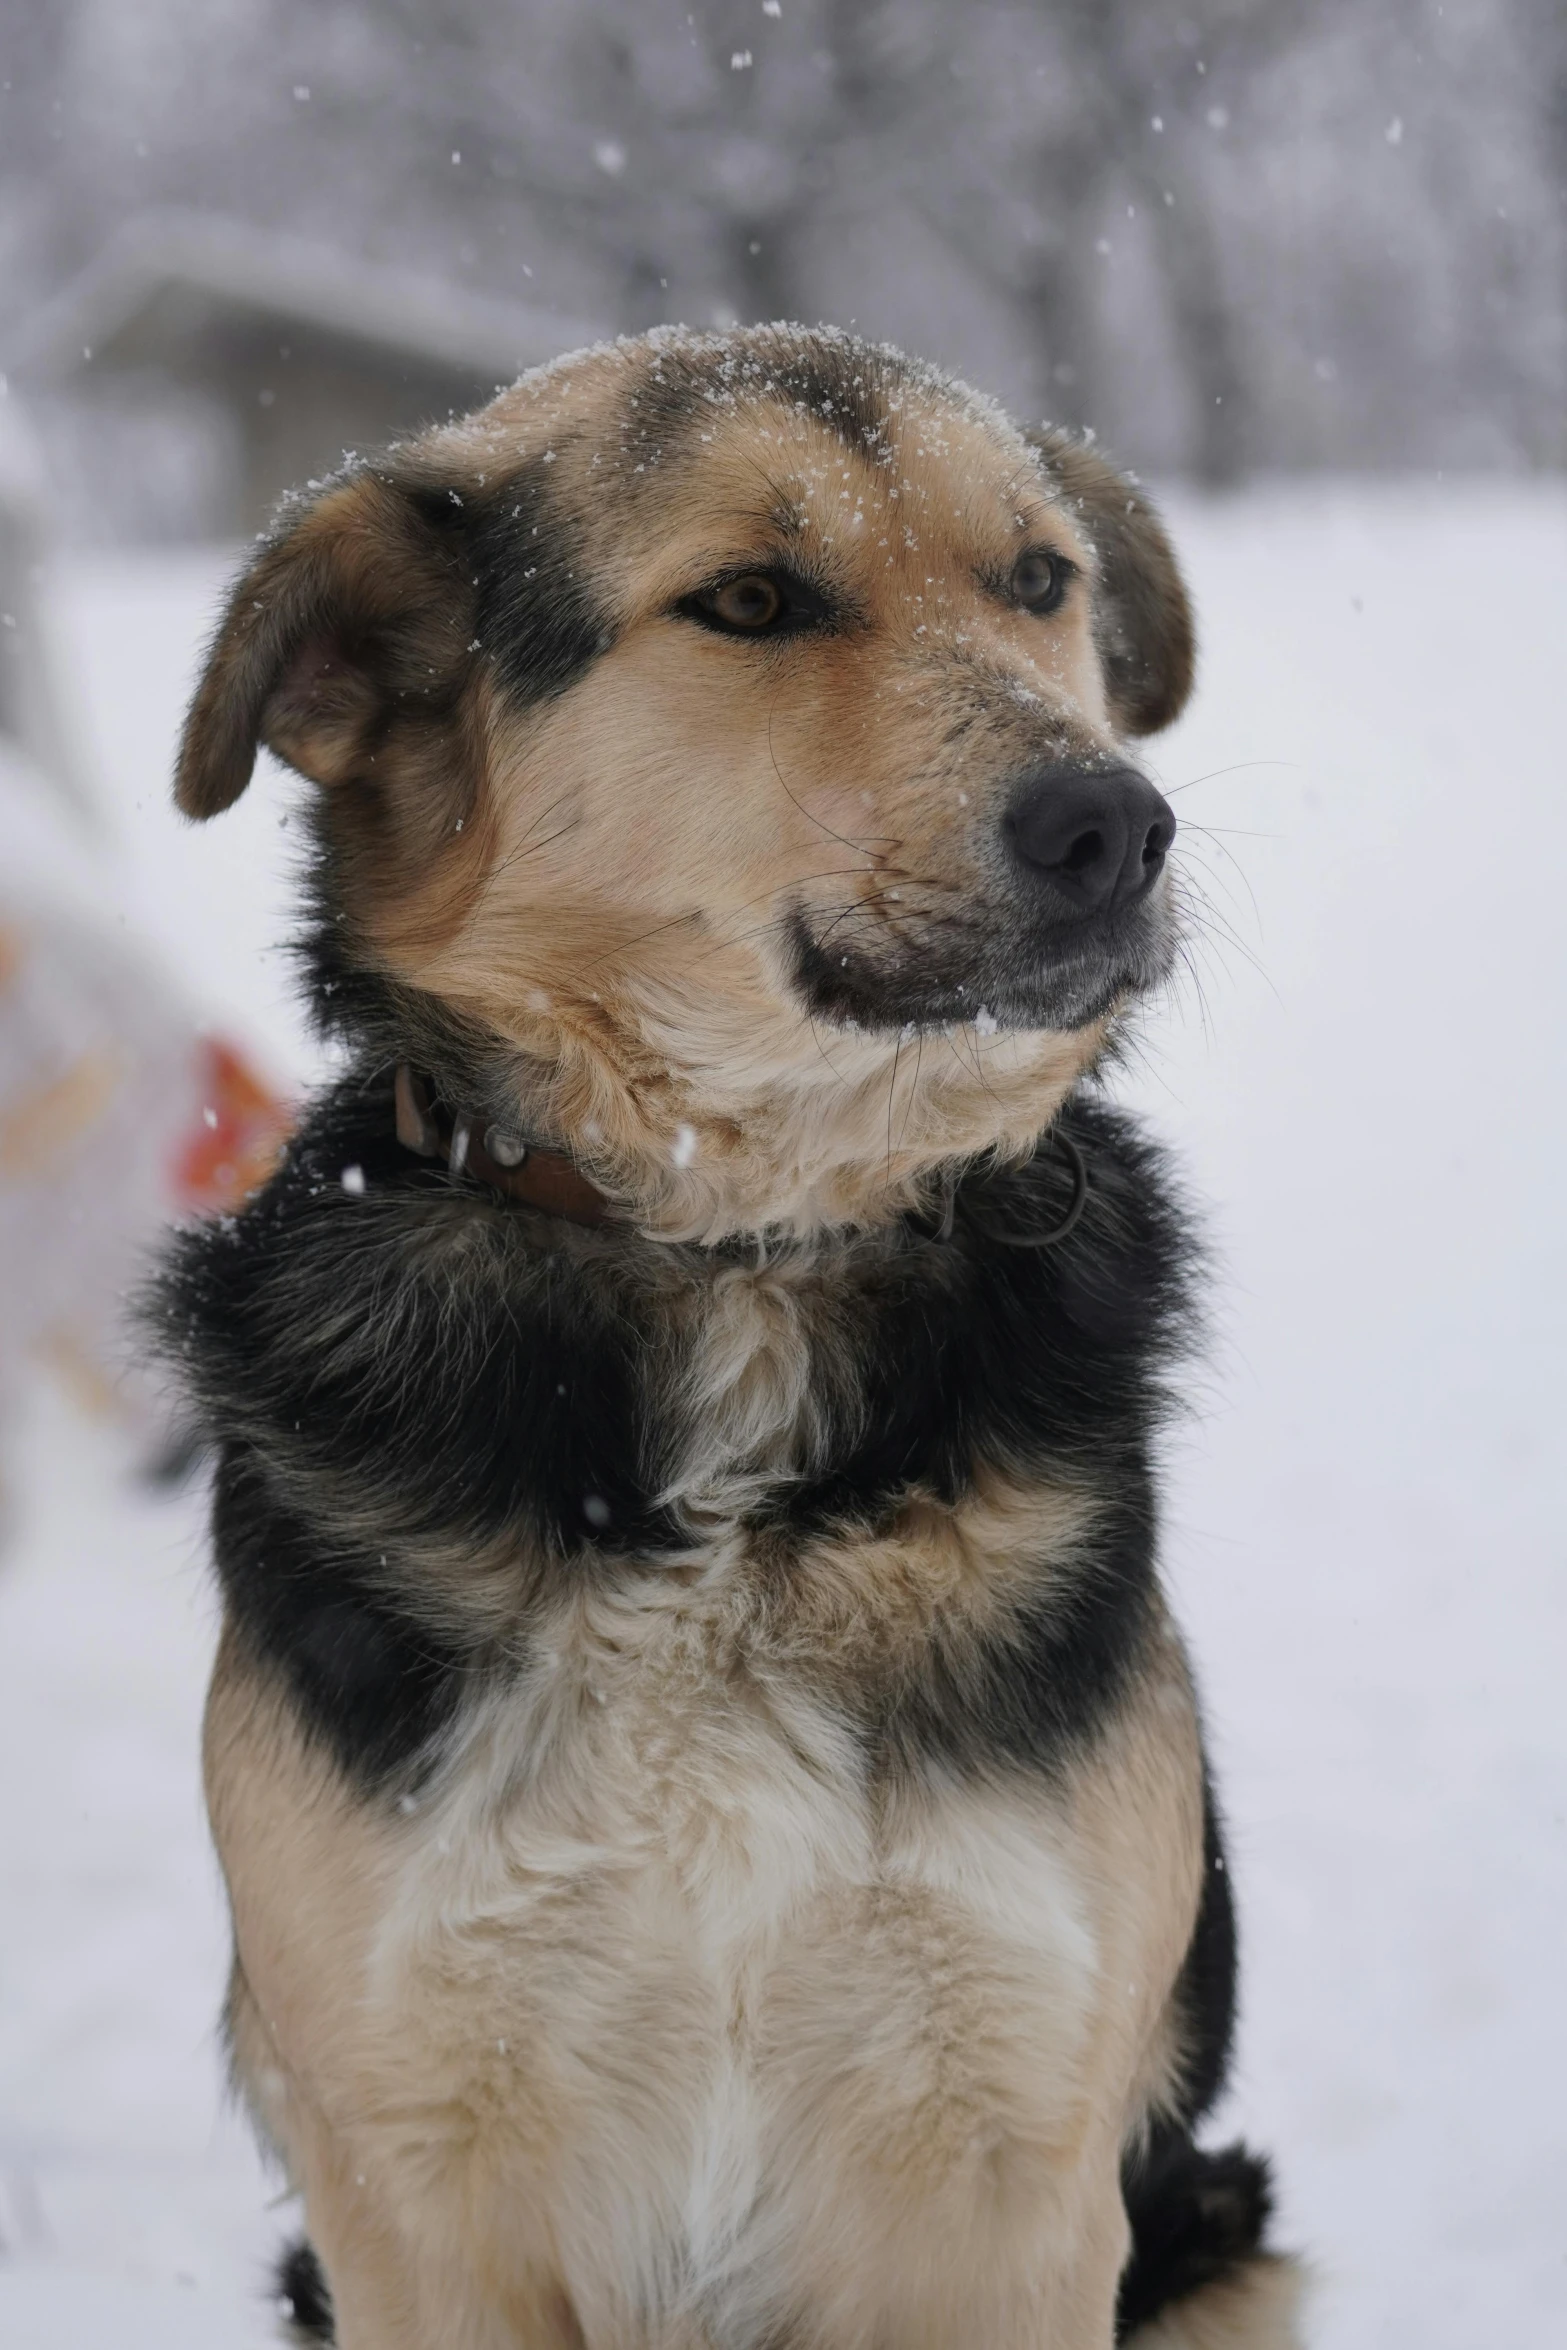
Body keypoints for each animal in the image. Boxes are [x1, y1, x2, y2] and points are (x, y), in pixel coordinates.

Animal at [150, 321, 1296, 2340]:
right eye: (750, 601)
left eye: (1037, 581)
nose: (1112, 824)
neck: (739, 1254)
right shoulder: (406, 2185)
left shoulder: (1018, 2175)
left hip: (1220, 2235)